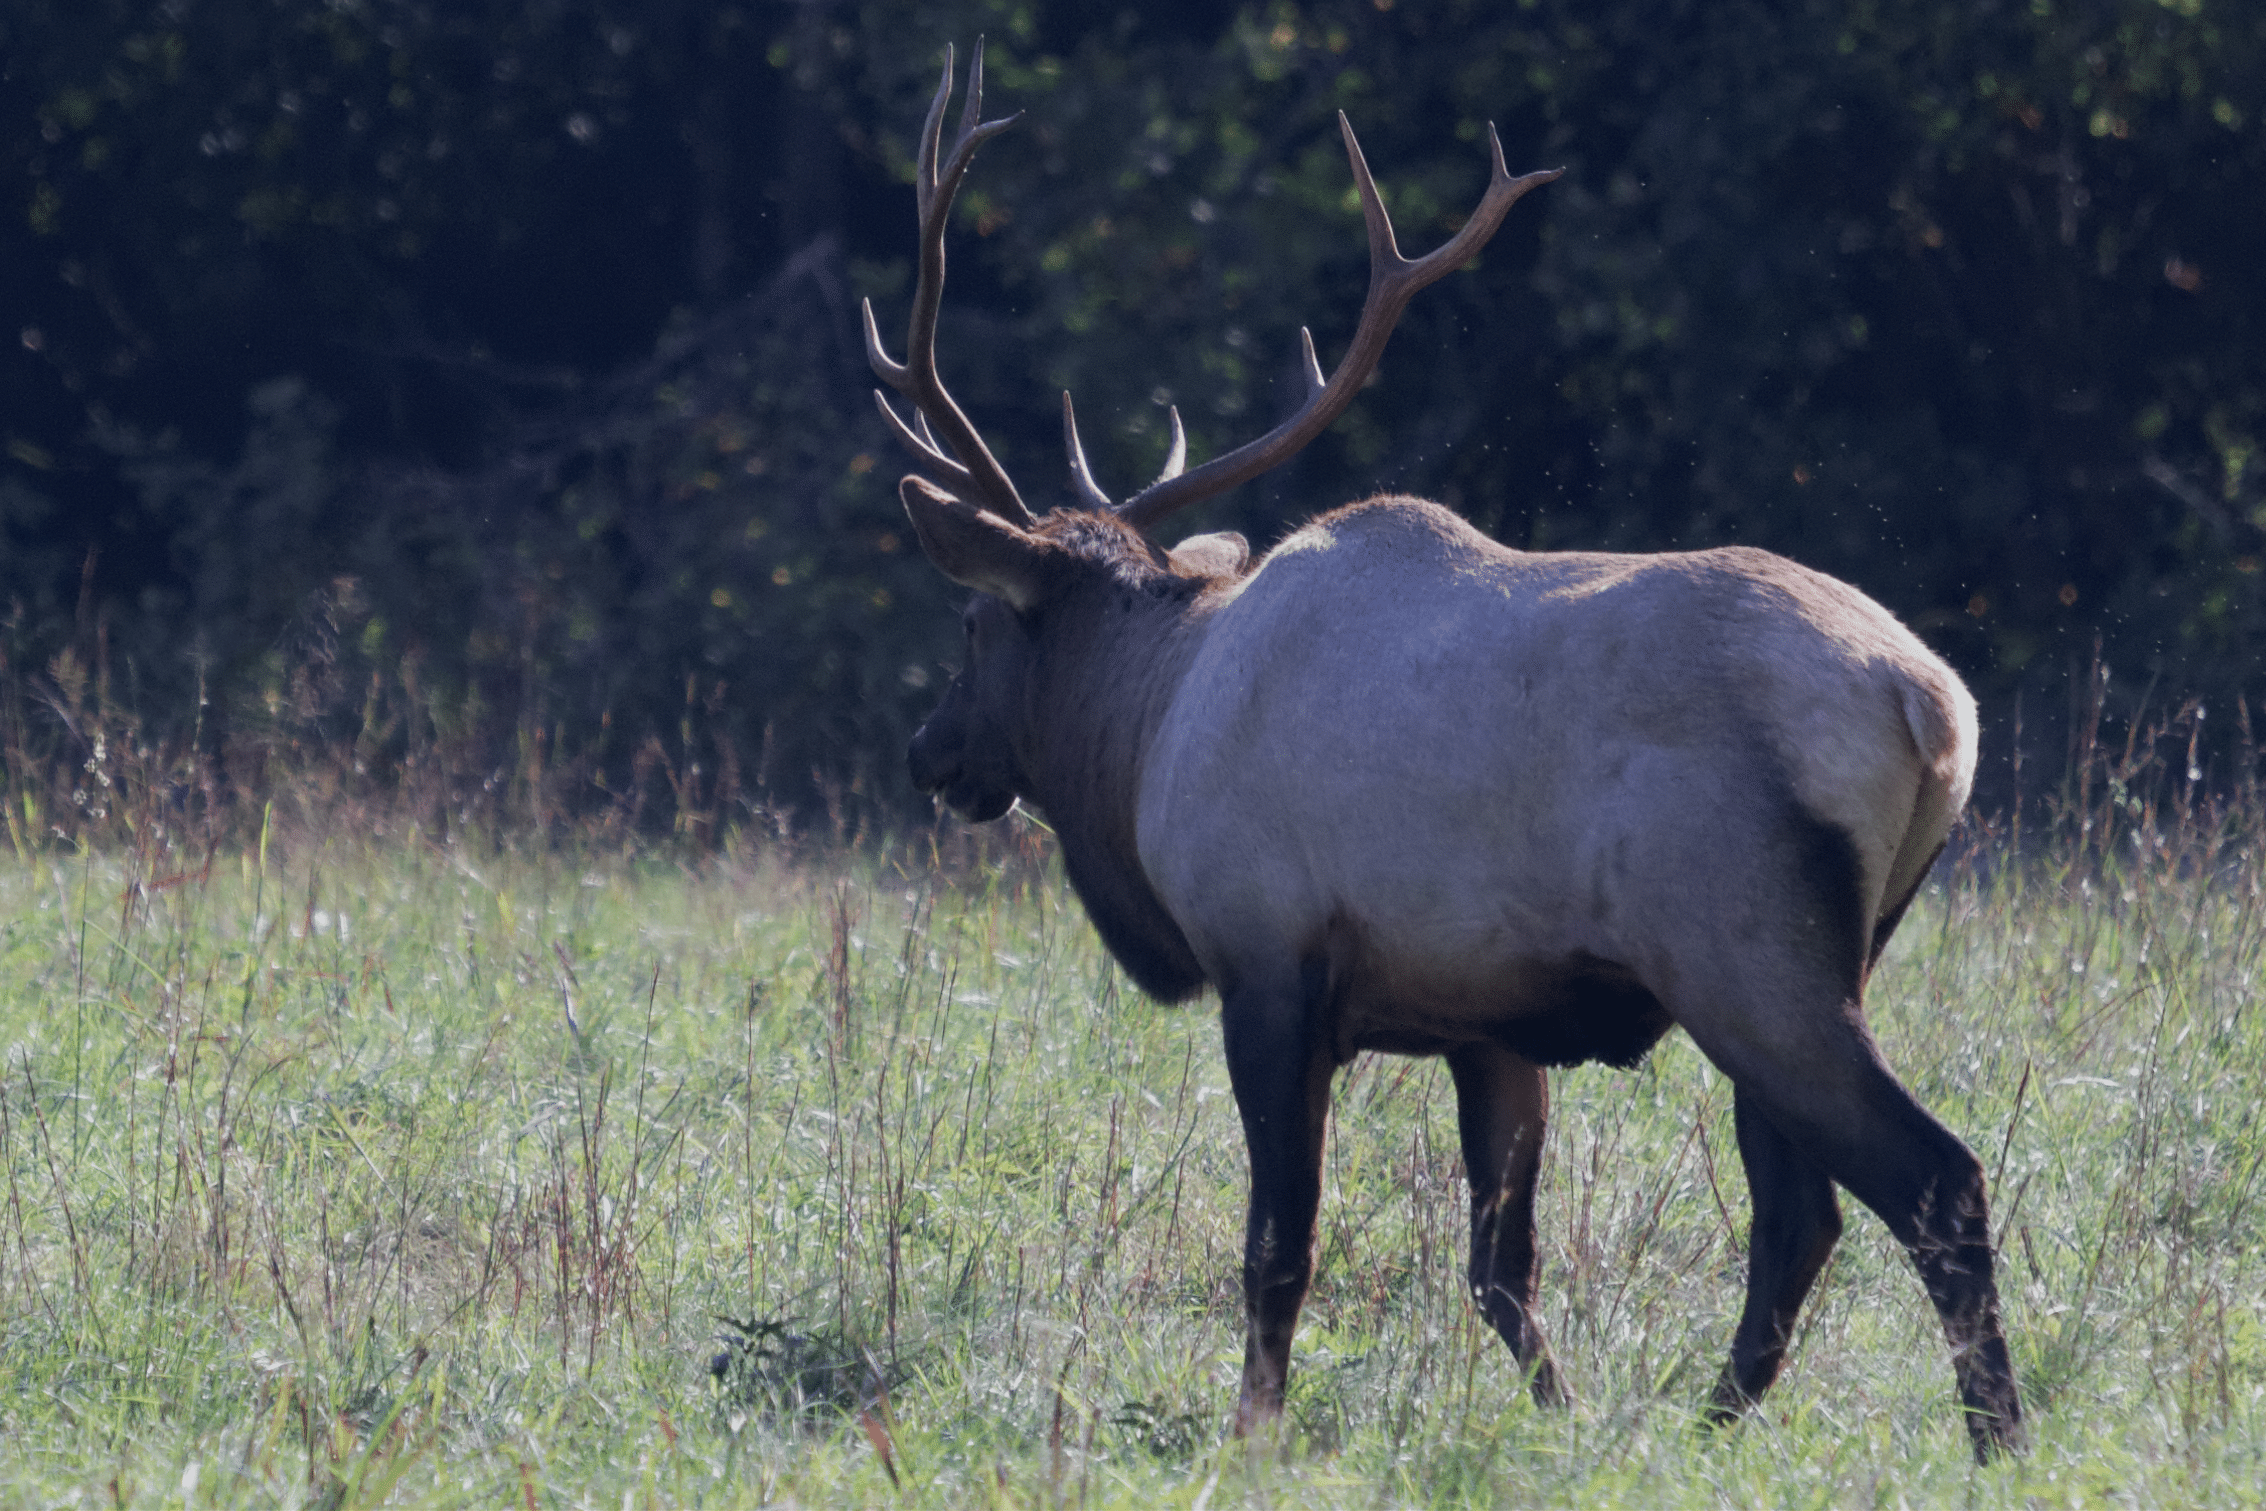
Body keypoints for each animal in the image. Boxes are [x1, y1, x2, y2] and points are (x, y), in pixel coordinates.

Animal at [865, 43, 2024, 1460]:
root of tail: (1932, 707)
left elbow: (1278, 1245)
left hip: (1744, 953)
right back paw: (1702, 1426)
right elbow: (1498, 1266)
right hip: (1833, 953)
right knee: (1801, 1210)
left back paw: (1989, 1436)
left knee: (1928, 1179)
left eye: (973, 622)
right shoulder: (1489, 1018)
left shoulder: (1270, 959)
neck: (1143, 742)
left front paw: (1252, 1430)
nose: (928, 751)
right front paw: (1559, 1420)